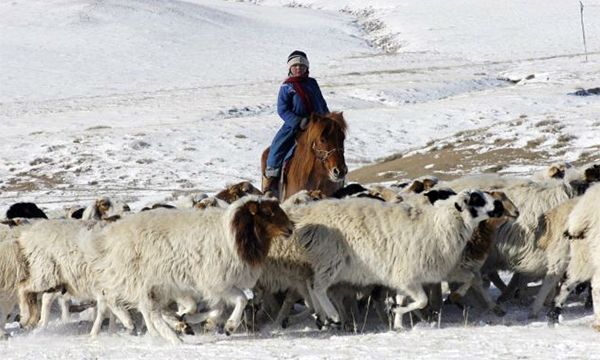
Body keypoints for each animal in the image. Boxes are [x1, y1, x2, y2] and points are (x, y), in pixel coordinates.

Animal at [91, 197, 292, 344]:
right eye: (268, 212)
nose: (290, 229)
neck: (234, 234)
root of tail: (109, 236)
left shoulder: (214, 286)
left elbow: (216, 309)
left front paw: (198, 321)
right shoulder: (218, 281)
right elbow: (241, 299)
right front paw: (230, 327)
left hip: (152, 284)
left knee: (144, 308)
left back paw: (176, 326)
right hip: (140, 280)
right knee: (142, 309)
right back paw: (167, 336)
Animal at [290, 190, 502, 330]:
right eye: (476, 199)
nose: (499, 205)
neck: (439, 226)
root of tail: (304, 214)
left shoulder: (402, 276)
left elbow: (404, 297)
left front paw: (398, 320)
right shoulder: (408, 275)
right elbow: (423, 301)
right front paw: (396, 311)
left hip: (321, 261)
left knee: (311, 285)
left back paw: (322, 316)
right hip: (330, 259)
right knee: (318, 287)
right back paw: (332, 315)